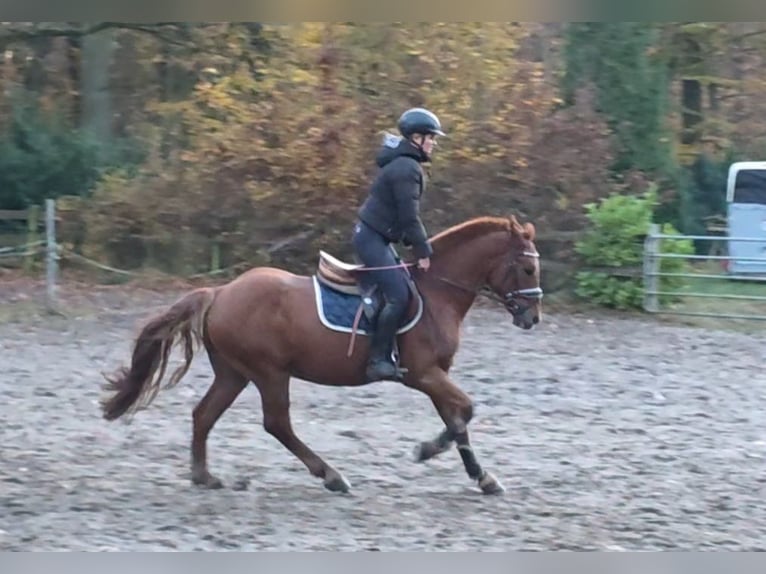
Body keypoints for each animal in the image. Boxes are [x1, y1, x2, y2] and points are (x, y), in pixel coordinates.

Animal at [100, 214, 543, 495]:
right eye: (527, 270)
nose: (533, 317)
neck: (437, 291)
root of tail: (221, 292)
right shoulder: (423, 374)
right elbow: (465, 412)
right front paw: (426, 450)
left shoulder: (436, 374)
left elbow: (458, 421)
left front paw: (483, 478)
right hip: (269, 372)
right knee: (277, 423)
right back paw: (331, 475)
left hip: (234, 373)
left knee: (204, 415)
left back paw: (204, 476)